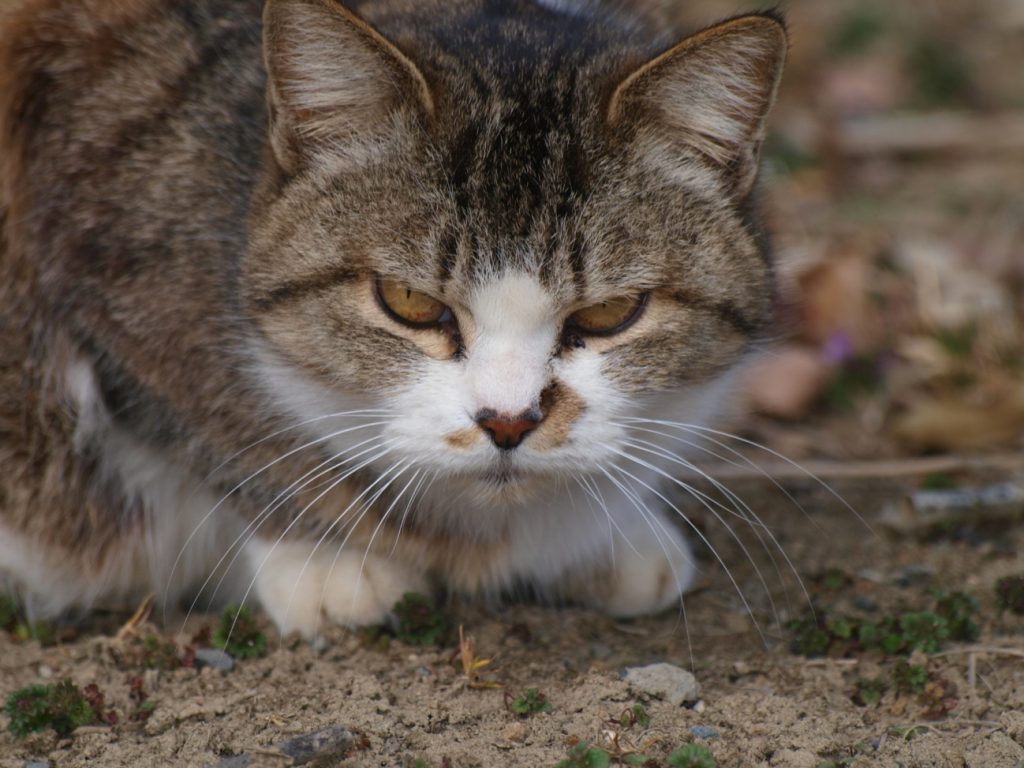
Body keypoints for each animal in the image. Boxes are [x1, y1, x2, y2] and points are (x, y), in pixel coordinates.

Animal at [0, 0, 782, 638]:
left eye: (610, 311)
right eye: (408, 301)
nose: (508, 422)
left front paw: (607, 529)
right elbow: (220, 434)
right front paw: (322, 554)